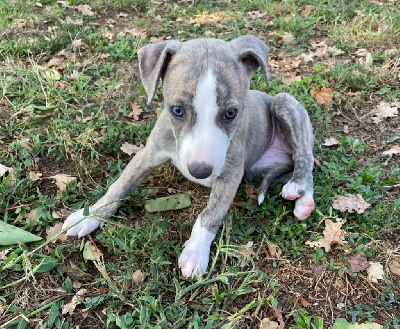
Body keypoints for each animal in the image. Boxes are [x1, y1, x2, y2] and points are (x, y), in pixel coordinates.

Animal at [61, 35, 316, 276]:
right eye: (177, 110)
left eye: (231, 113)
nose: (200, 171)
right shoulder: (147, 154)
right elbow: (119, 186)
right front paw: (91, 216)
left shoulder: (231, 174)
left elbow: (210, 214)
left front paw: (195, 252)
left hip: (284, 102)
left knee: (305, 159)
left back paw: (300, 194)